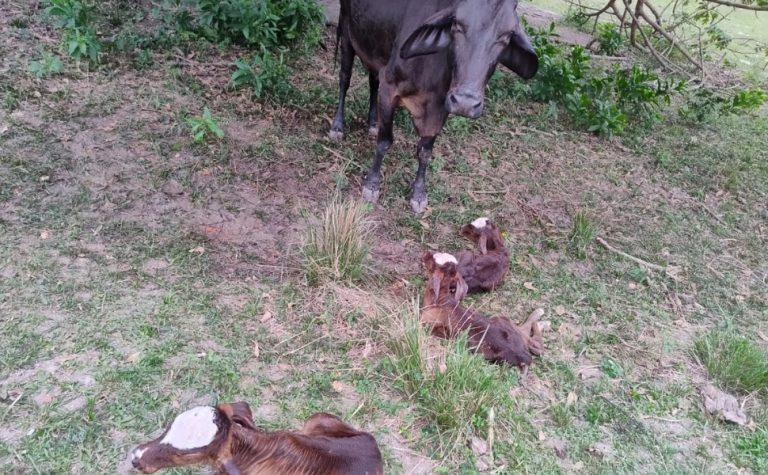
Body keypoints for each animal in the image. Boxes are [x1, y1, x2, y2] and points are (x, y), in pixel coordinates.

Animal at [329, 0, 539, 213]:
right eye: (456, 25)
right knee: (344, 79)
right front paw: (372, 185)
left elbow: (425, 151)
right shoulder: (389, 88)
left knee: (373, 80)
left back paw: (372, 123)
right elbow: (384, 141)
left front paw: (418, 194)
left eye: (506, 36)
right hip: (346, 32)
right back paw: (337, 126)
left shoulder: (440, 108)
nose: (465, 102)